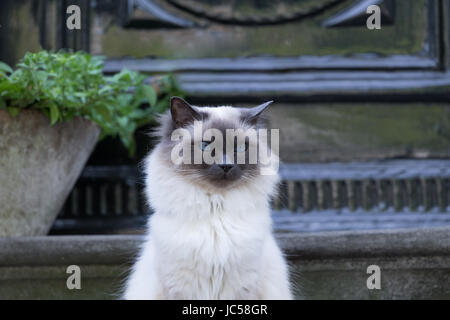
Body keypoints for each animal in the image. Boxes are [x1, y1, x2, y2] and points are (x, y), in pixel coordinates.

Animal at [123, 97, 292, 300]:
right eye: (205, 146)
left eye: (240, 148)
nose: (226, 165)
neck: (215, 213)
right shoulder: (179, 289)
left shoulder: (243, 289)